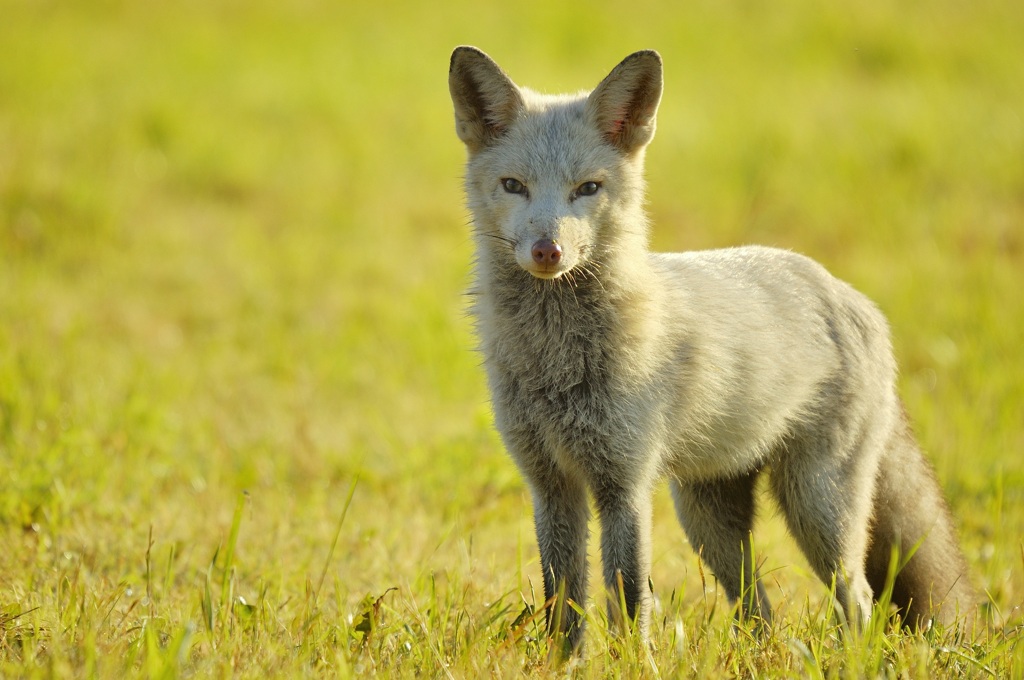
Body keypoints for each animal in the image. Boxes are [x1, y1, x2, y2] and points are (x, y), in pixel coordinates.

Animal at [448, 45, 974, 651]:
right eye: (514, 185)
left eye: (588, 189)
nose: (547, 251)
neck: (556, 365)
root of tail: (845, 292)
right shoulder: (551, 484)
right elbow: (565, 600)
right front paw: (565, 664)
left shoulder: (625, 482)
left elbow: (630, 597)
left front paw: (636, 663)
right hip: (709, 520)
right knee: (758, 608)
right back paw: (761, 656)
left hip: (817, 506)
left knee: (859, 598)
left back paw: (855, 660)